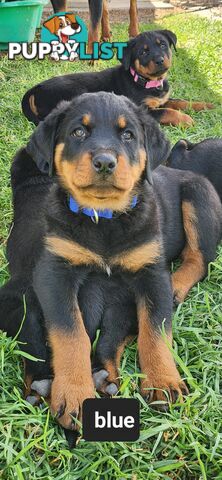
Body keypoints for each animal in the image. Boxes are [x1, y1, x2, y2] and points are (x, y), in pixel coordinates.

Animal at [21, 29, 212, 128]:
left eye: (163, 45)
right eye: (143, 52)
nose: (159, 60)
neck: (146, 81)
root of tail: (35, 89)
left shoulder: (162, 99)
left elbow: (180, 102)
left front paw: (205, 105)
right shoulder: (144, 109)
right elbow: (168, 111)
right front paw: (186, 119)